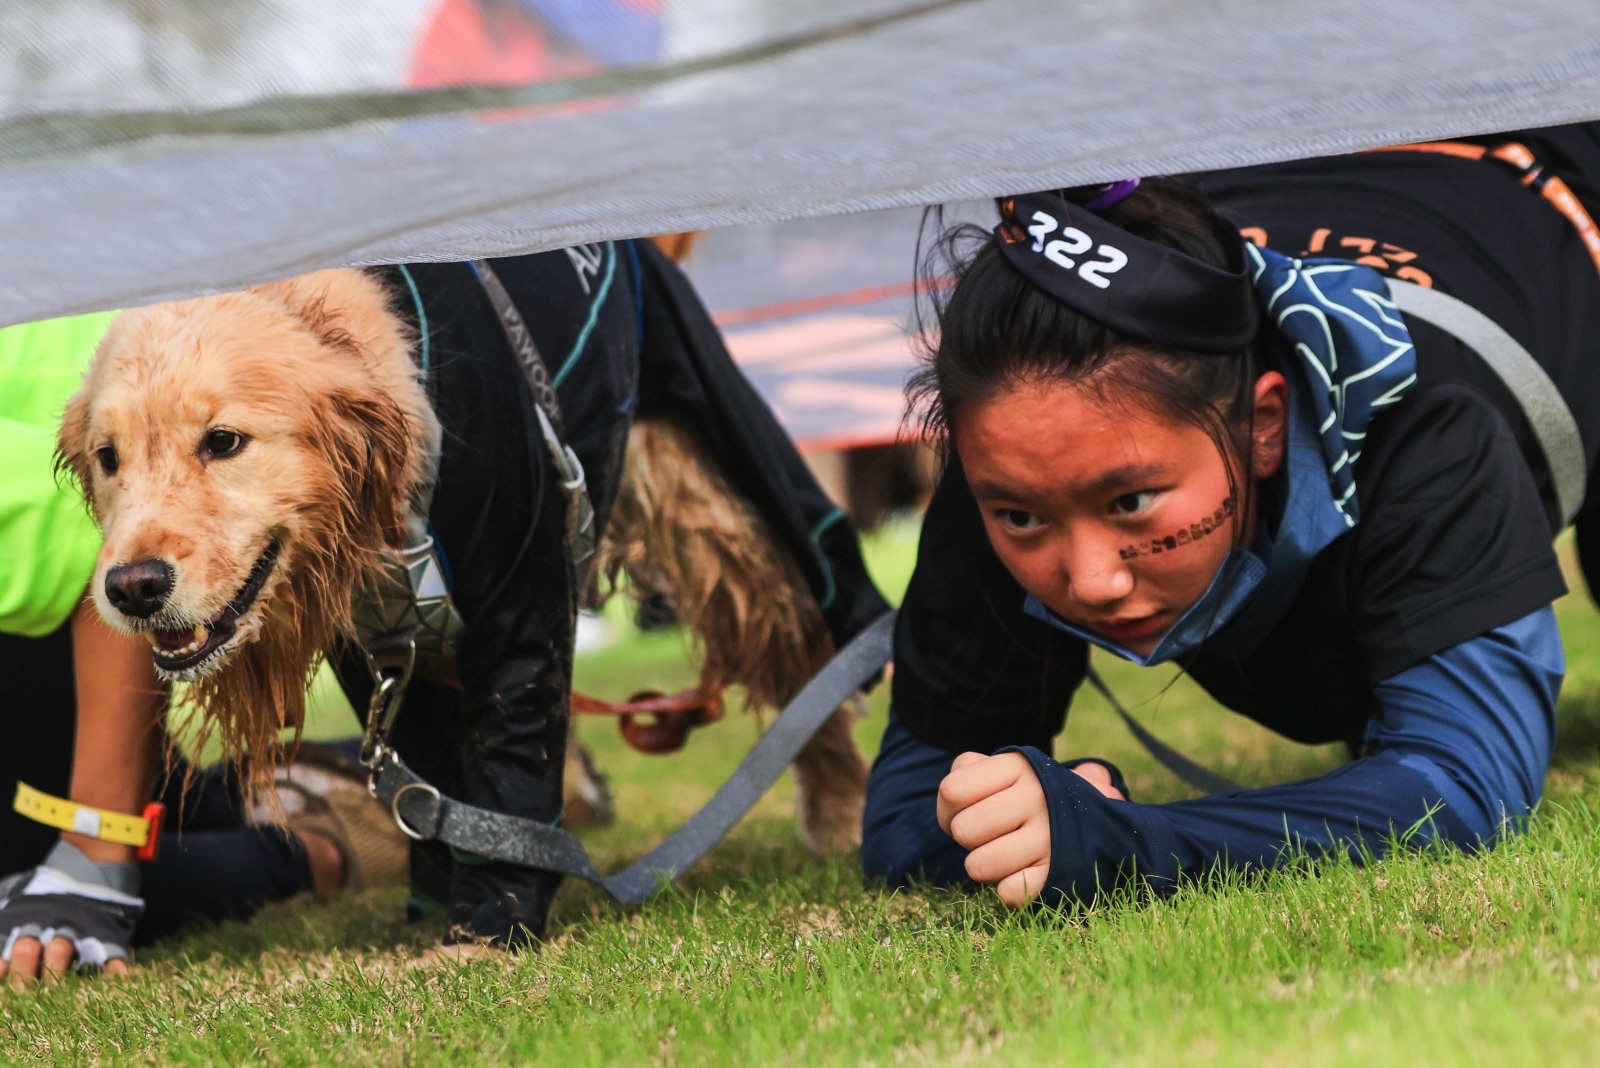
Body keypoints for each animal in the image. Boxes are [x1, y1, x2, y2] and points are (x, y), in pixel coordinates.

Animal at [59, 244, 889, 940]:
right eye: (109, 457)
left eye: (224, 441)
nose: (131, 587)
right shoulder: (384, 654)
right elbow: (431, 773)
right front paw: (437, 902)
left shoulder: (522, 592)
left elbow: (511, 755)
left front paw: (492, 917)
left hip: (716, 508)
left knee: (805, 644)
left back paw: (840, 804)